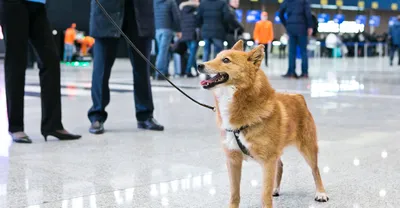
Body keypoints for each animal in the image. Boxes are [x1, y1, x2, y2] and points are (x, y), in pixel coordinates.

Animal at [197, 40, 328, 208]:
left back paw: (321, 193)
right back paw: (276, 189)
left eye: (226, 60)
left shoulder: (267, 161)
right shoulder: (233, 160)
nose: (199, 65)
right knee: (280, 166)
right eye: (216, 56)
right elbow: (234, 194)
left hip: (308, 147)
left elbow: (264, 196)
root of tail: (298, 96)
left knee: (315, 170)